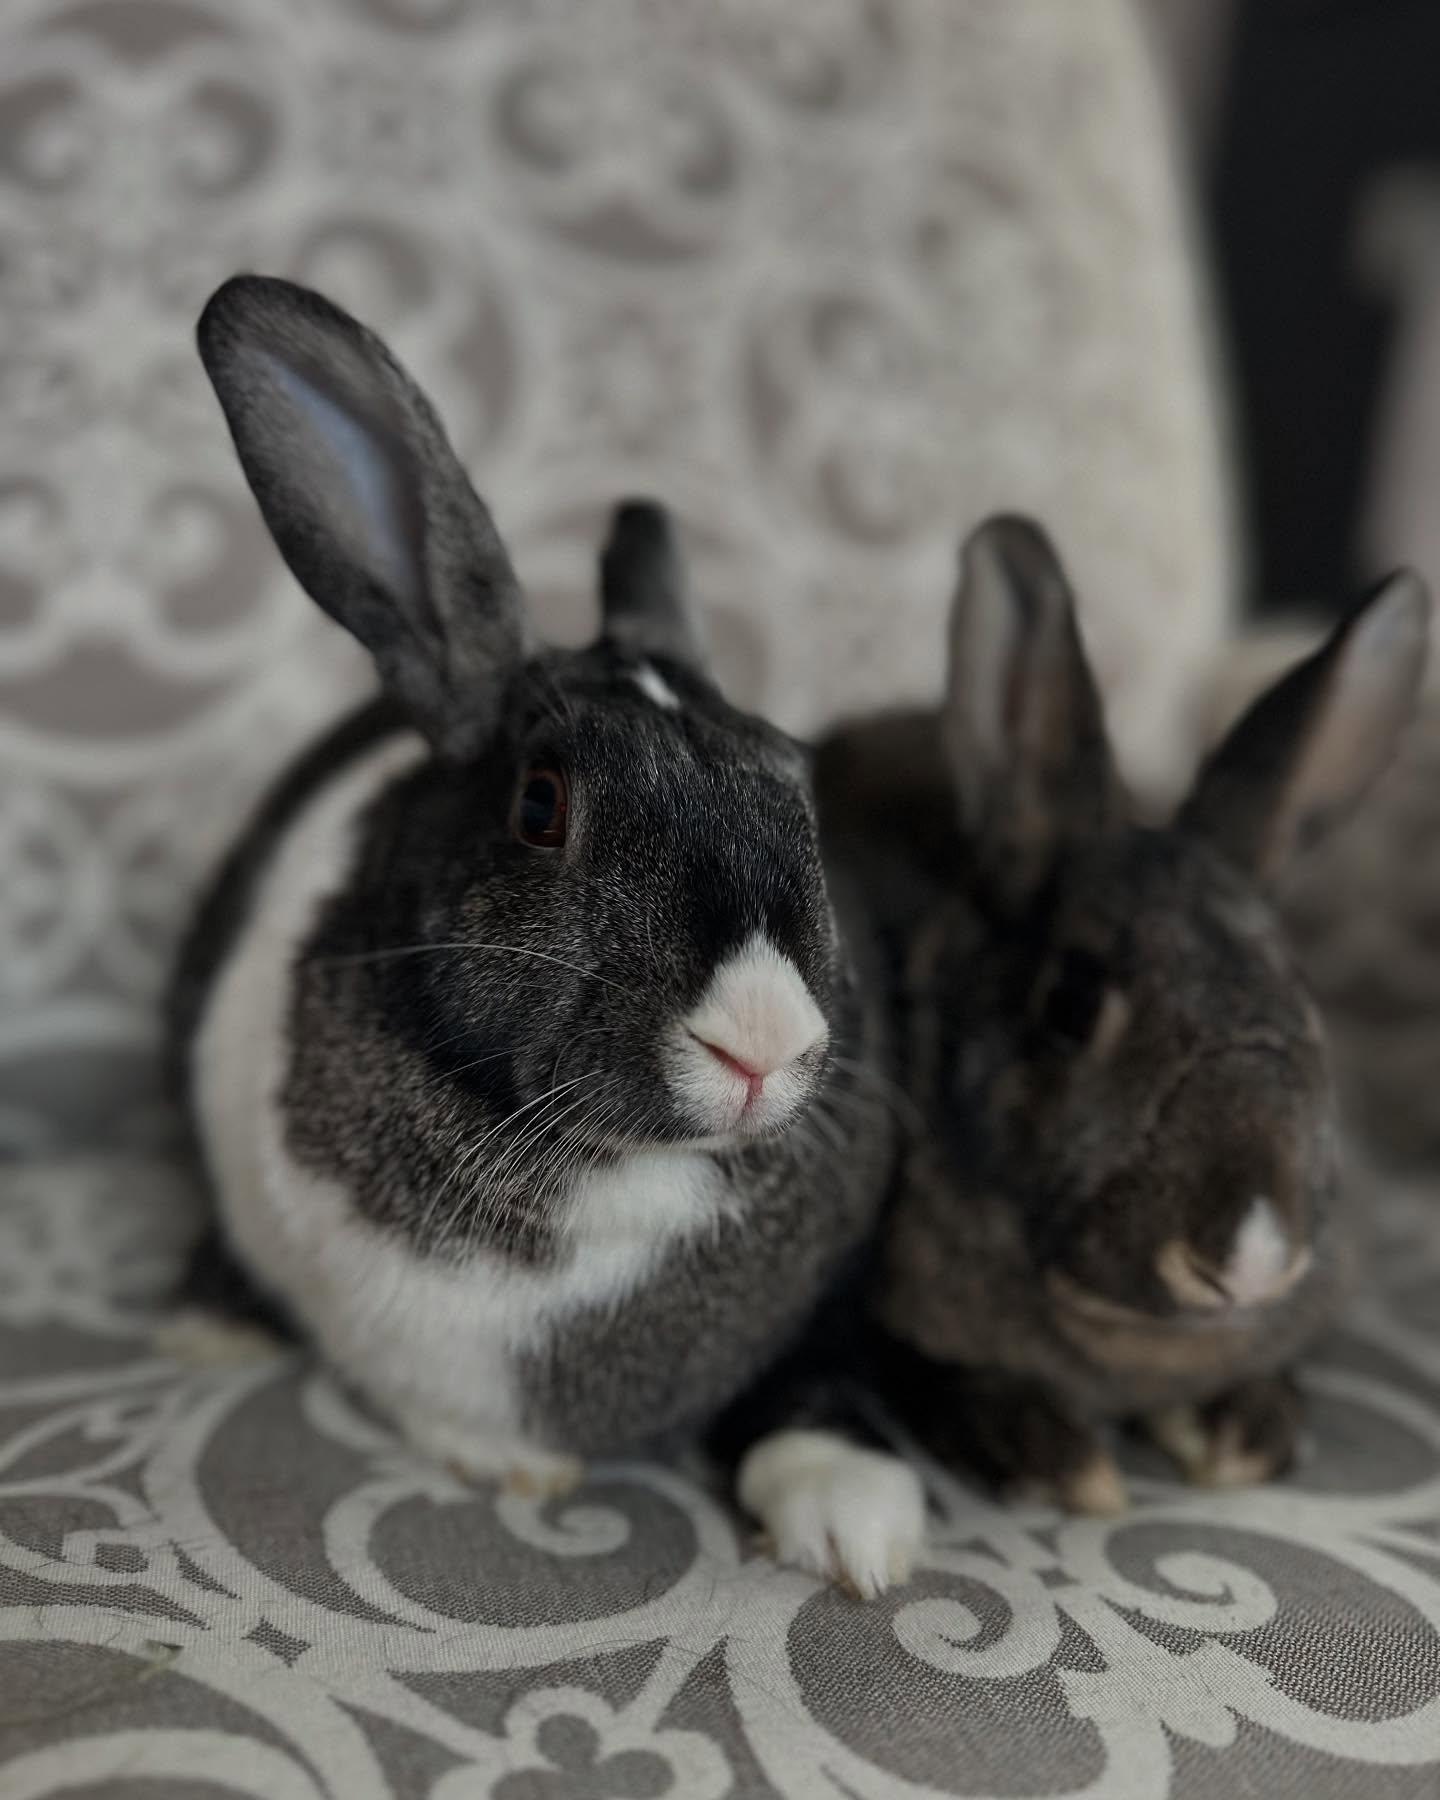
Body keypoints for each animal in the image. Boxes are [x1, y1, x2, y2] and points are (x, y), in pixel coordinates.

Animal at [166, 273, 925, 1595]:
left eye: (798, 784)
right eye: (540, 804)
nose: (762, 1045)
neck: (620, 1176)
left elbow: (814, 1378)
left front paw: (860, 1525)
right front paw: (518, 1466)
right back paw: (202, 1328)